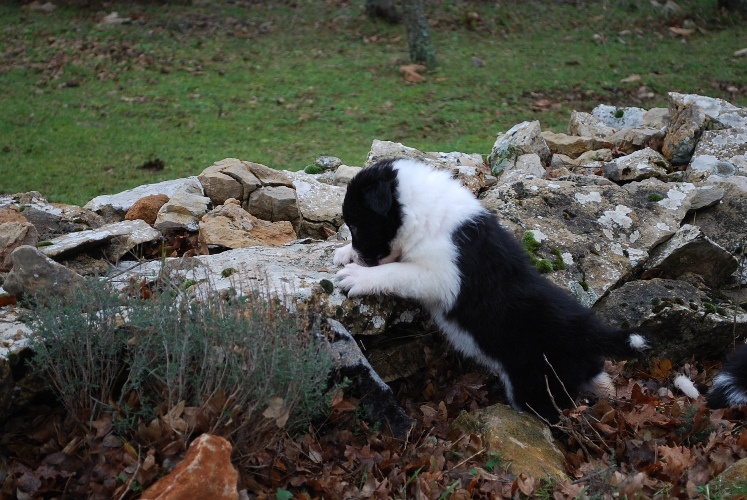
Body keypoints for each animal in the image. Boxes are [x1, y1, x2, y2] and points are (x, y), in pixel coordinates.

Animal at [336, 159, 644, 422]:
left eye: (356, 225)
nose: (360, 257)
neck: (422, 213)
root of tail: (588, 333)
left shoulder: (443, 277)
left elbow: (398, 271)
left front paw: (358, 275)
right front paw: (344, 253)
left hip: (535, 384)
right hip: (579, 368)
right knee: (599, 378)